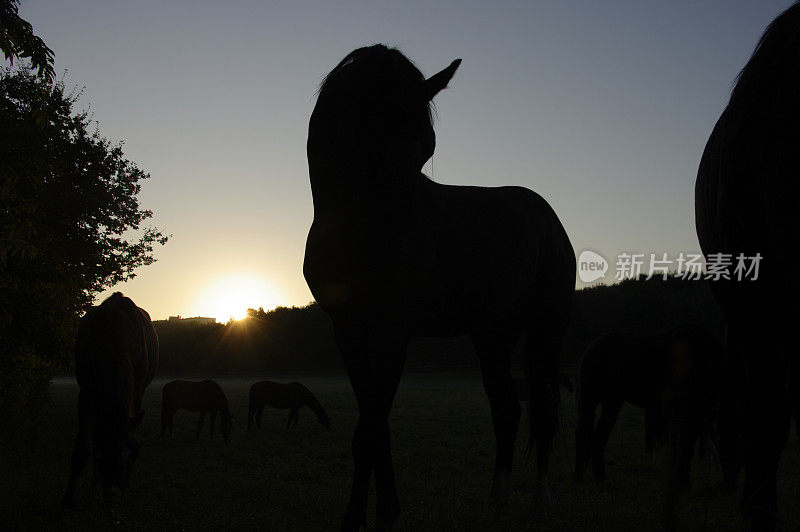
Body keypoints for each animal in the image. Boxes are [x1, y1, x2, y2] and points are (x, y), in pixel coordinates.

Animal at [61, 294, 159, 510]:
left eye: (136, 453)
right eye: (110, 454)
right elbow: (84, 447)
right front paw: (68, 500)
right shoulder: (87, 392)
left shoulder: (136, 391)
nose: (114, 495)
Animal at [302, 43, 576, 528]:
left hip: (546, 329)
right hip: (494, 335)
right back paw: (496, 504)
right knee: (507, 410)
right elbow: (371, 427)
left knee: (542, 411)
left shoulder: (392, 335)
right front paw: (364, 516)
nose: (395, 254)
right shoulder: (349, 333)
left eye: (424, 149)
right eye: (366, 138)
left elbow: (372, 429)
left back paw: (541, 504)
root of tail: (545, 215)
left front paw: (382, 516)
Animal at [572, 324, 720, 486]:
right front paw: (682, 481)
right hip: (590, 398)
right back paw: (580, 477)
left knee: (597, 434)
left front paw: (683, 480)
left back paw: (598, 477)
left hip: (610, 402)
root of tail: (591, 347)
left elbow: (688, 443)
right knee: (583, 433)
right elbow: (686, 443)